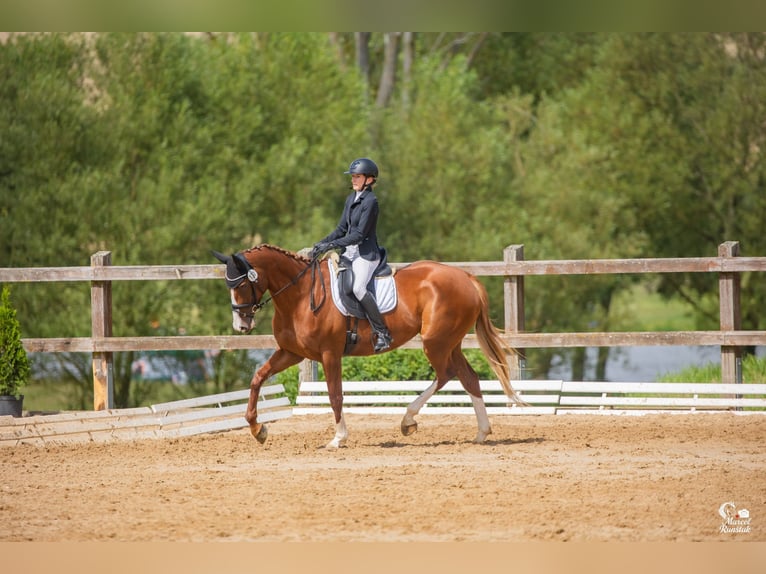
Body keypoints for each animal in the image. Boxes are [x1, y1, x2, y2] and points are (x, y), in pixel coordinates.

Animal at [212, 244, 523, 448]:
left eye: (241, 285)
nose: (241, 326)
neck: (299, 295)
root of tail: (467, 277)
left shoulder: (329, 354)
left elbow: (335, 395)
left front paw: (338, 438)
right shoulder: (292, 353)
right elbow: (258, 378)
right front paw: (257, 429)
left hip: (436, 342)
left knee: (446, 374)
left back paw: (408, 421)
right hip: (450, 342)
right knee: (468, 377)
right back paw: (481, 433)